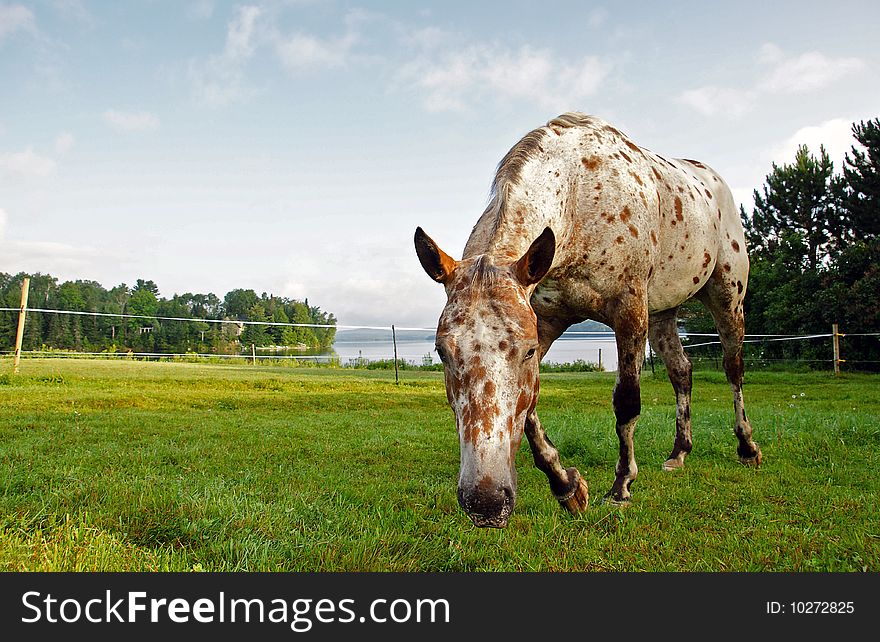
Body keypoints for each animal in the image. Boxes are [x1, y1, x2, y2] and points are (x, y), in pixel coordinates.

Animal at [416, 112, 760, 528]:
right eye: (442, 352)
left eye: (525, 351)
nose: (486, 502)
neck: (580, 197)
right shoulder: (547, 320)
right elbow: (528, 410)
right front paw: (567, 487)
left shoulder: (628, 313)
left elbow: (627, 402)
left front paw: (621, 486)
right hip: (663, 312)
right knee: (682, 371)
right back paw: (679, 452)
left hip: (727, 297)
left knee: (733, 368)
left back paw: (747, 447)